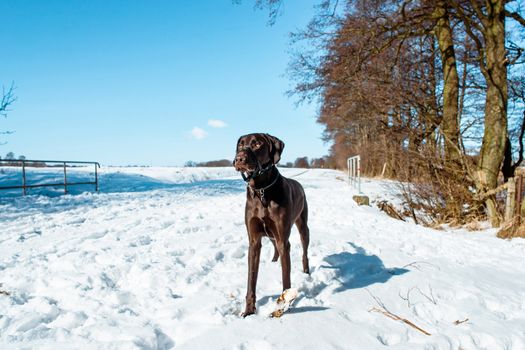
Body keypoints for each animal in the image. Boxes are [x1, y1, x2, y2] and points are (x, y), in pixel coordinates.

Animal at [232, 132, 310, 318]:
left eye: (257, 144)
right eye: (241, 145)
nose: (239, 159)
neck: (262, 190)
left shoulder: (283, 240)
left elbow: (286, 277)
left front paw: (285, 304)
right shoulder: (254, 241)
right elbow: (251, 279)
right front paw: (249, 311)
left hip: (303, 226)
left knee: (304, 251)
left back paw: (306, 272)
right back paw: (274, 261)